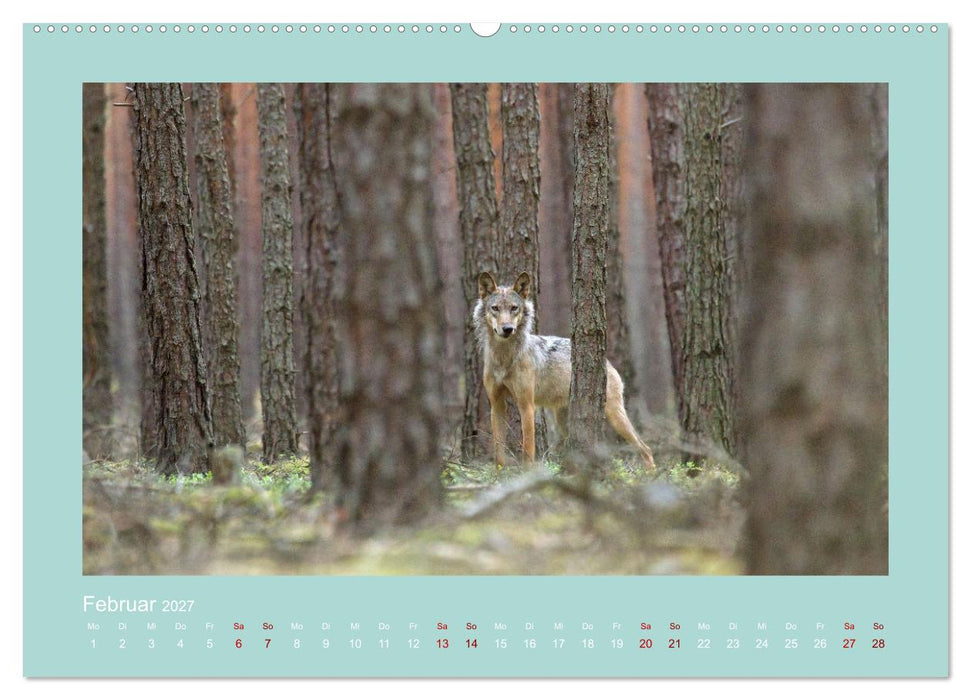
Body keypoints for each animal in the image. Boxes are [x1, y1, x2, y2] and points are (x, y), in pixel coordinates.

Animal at [474, 271, 656, 472]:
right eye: (495, 308)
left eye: (514, 308)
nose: (507, 329)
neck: (503, 358)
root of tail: (608, 363)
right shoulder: (497, 405)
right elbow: (499, 451)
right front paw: (499, 475)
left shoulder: (527, 405)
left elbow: (528, 451)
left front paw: (527, 475)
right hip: (564, 421)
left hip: (614, 415)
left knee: (645, 448)